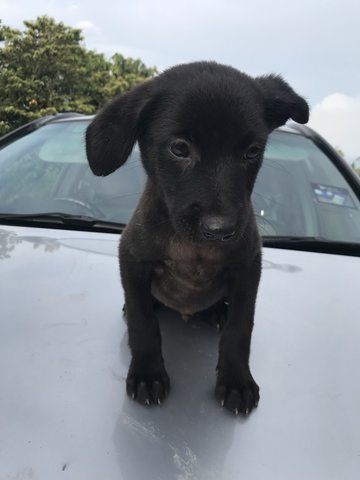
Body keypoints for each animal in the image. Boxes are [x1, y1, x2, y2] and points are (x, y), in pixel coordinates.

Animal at [85, 61, 310, 416]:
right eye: (179, 148)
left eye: (252, 151)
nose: (220, 230)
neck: (194, 249)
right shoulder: (132, 257)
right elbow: (142, 323)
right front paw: (148, 372)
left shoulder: (248, 266)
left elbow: (240, 328)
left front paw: (236, 380)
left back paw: (218, 312)